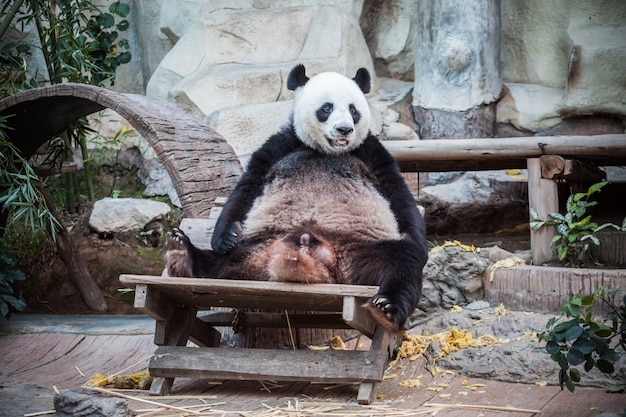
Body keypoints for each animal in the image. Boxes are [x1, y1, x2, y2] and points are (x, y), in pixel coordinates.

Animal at [163, 64, 426, 332]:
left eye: (353, 110)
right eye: (327, 108)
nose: (344, 129)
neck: (326, 151)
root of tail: (318, 261)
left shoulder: (370, 151)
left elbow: (396, 192)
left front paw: (415, 240)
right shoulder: (282, 145)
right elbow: (247, 186)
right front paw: (226, 236)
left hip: (362, 252)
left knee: (402, 264)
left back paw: (386, 307)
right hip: (256, 248)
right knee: (220, 264)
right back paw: (184, 254)